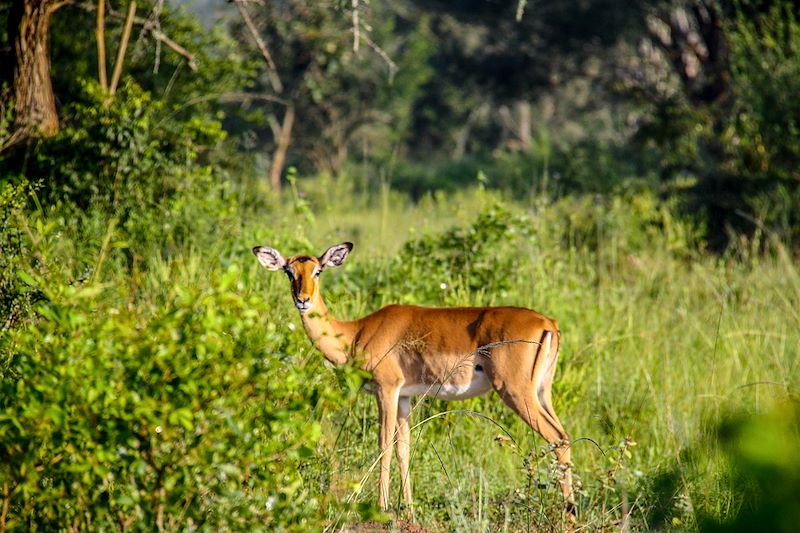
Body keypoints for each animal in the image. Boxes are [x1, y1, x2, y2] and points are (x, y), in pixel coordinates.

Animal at [253, 242, 572, 516]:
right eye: (289, 271)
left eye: (318, 270)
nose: (302, 300)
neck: (355, 333)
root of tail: (548, 323)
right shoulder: (405, 396)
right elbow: (404, 450)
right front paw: (408, 508)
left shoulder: (386, 389)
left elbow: (383, 445)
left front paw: (381, 507)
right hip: (541, 393)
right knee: (565, 437)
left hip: (516, 392)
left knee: (557, 439)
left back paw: (568, 515)